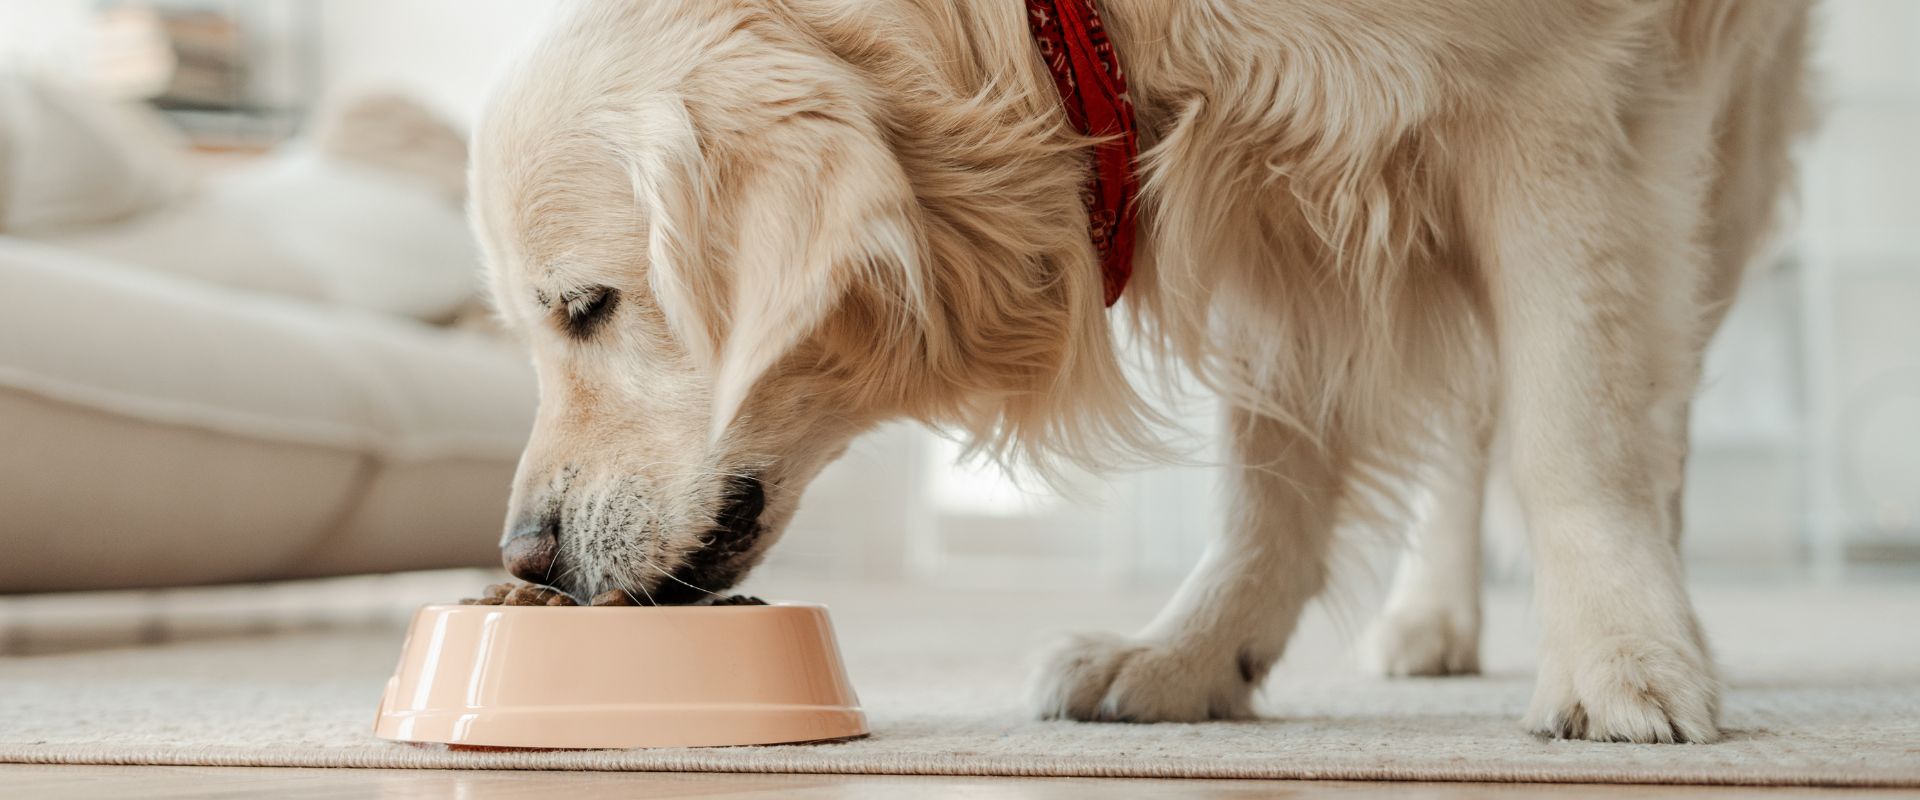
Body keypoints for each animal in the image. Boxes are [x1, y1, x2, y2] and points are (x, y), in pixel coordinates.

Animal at [468, 0, 1812, 740]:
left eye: (587, 308)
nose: (524, 554)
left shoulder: (1571, 100)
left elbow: (1575, 422)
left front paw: (1622, 659)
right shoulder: (1285, 187)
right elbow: (1267, 477)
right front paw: (1195, 655)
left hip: (1725, 134)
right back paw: (1430, 616)